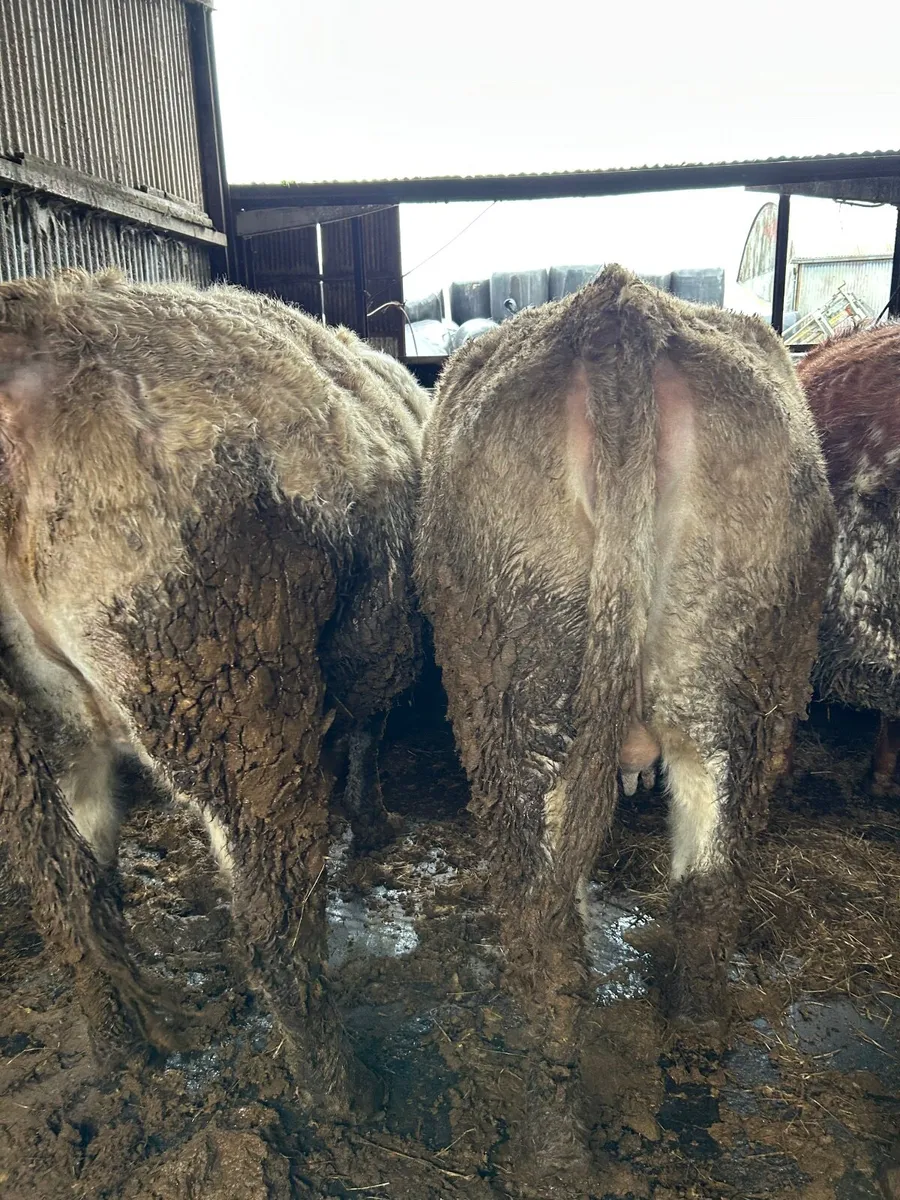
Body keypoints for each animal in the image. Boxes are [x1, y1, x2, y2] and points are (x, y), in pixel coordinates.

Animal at [0, 269, 428, 1115]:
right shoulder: (381, 641)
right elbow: (368, 732)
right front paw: (372, 825)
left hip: (37, 728)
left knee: (71, 898)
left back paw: (121, 1049)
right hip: (237, 710)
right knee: (272, 925)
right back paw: (345, 1094)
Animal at [415, 264, 834, 1183]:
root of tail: (619, 308)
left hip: (521, 704)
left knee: (548, 931)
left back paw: (554, 1146)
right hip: (738, 693)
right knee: (705, 902)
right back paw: (688, 1101)